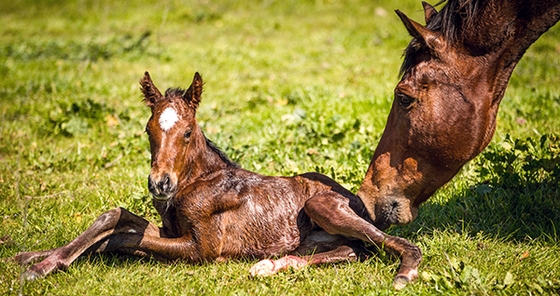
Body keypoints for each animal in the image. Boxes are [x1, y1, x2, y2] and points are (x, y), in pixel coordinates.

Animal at [14, 72, 420, 290]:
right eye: (147, 130)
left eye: (188, 132)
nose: (160, 184)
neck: (196, 182)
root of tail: (357, 199)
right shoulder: (170, 230)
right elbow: (117, 223)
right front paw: (34, 257)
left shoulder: (202, 249)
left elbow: (121, 233)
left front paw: (41, 266)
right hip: (317, 237)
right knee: (348, 250)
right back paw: (273, 265)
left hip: (322, 204)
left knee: (391, 245)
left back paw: (405, 273)